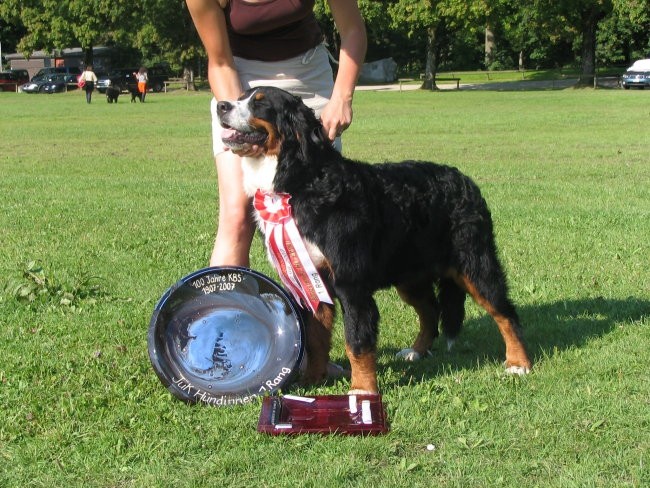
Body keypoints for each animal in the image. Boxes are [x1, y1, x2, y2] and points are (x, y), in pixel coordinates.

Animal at [215, 86, 528, 392]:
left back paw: (518, 363)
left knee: (504, 311)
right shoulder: (310, 281)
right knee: (430, 311)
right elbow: (316, 337)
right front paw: (312, 381)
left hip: (474, 264)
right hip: (409, 275)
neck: (302, 182)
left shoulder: (350, 284)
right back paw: (417, 351)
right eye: (241, 97)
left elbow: (357, 341)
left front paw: (362, 391)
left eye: (259, 103)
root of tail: (464, 180)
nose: (221, 106)